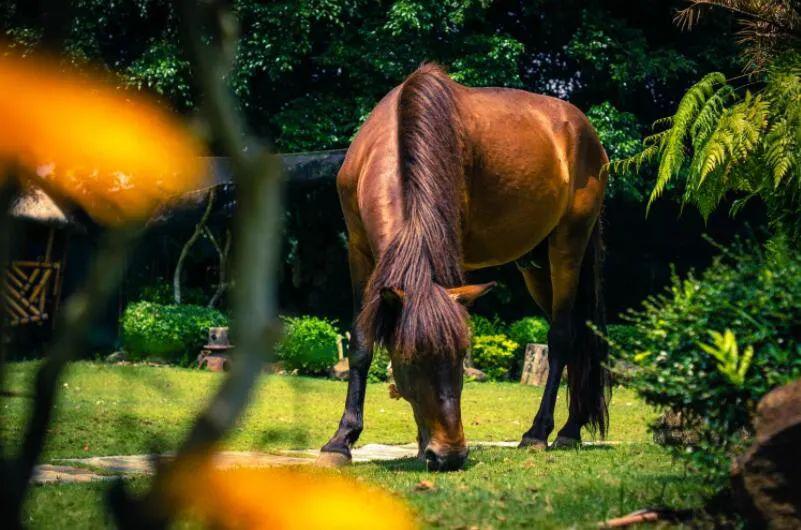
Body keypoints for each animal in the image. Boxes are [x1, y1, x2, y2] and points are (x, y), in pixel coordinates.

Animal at [316, 63, 608, 470]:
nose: (450, 455)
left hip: (569, 243)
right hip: (534, 265)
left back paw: (540, 433)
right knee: (579, 332)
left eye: (458, 360)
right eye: (409, 360)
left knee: (562, 335)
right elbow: (361, 341)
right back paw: (573, 428)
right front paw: (341, 441)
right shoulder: (359, 252)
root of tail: (583, 129)